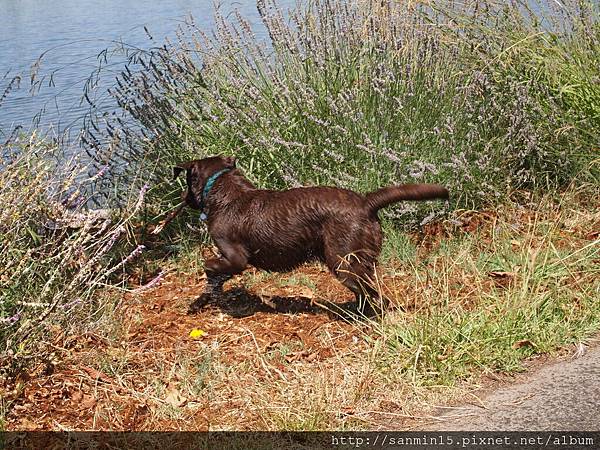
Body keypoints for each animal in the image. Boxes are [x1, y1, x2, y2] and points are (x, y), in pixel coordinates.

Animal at [171, 156, 448, 314]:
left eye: (187, 182)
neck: (225, 191)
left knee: (372, 294)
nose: (184, 198)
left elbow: (210, 266)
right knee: (369, 291)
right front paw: (202, 299)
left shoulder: (235, 258)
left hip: (343, 262)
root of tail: (366, 202)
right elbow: (214, 279)